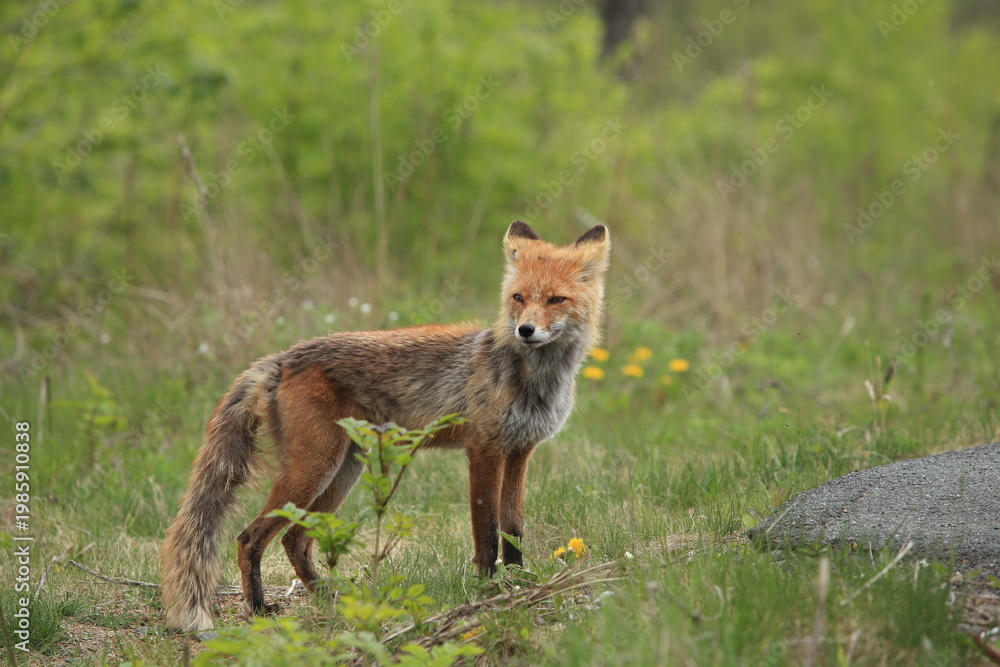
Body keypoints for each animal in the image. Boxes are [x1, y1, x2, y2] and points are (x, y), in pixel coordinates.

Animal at [160, 220, 611, 632]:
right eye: (519, 298)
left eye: (555, 299)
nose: (525, 330)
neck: (534, 382)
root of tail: (284, 357)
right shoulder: (483, 449)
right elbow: (486, 532)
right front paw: (488, 590)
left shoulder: (519, 451)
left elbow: (513, 529)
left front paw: (518, 583)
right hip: (313, 469)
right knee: (250, 538)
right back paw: (257, 609)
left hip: (342, 472)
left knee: (295, 539)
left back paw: (326, 596)